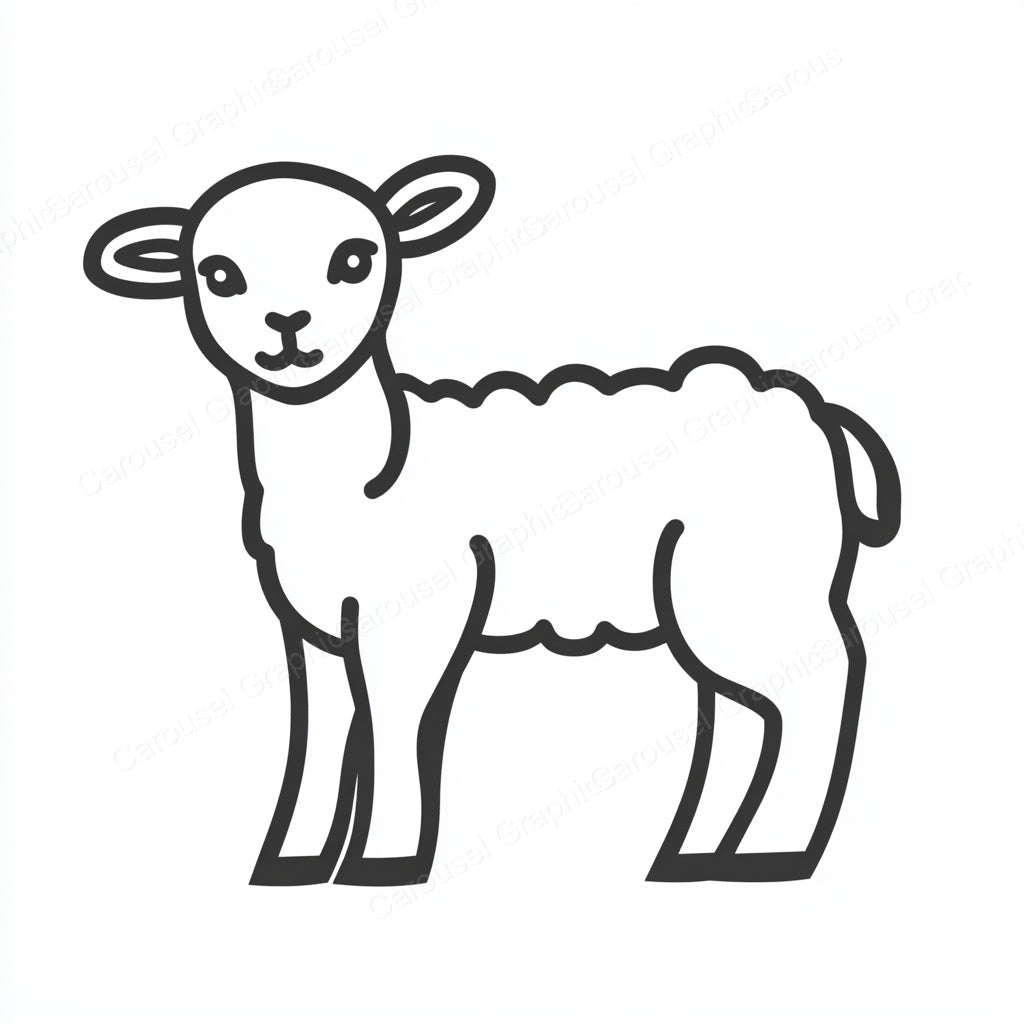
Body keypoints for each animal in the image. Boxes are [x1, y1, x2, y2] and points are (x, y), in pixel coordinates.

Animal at [84, 157, 901, 886]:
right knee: (739, 704)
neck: (361, 475)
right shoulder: (310, 628)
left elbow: (397, 724)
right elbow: (319, 737)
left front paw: (381, 864)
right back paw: (694, 855)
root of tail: (812, 412)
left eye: (356, 258)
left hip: (757, 578)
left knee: (821, 680)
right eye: (217, 273)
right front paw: (290, 864)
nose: (287, 327)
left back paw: (774, 852)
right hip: (706, 590)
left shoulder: (417, 611)